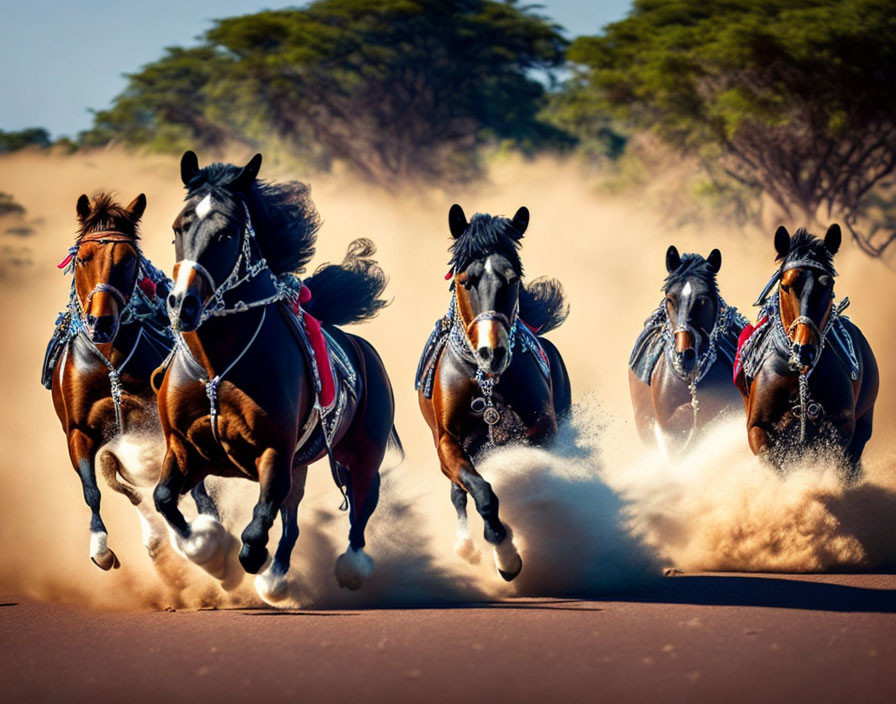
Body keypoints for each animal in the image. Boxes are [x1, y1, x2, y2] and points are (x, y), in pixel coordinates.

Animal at [45, 192, 219, 572]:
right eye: (82, 258)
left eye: (128, 260)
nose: (101, 322)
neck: (110, 360)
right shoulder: (79, 432)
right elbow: (93, 489)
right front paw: (100, 548)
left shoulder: (160, 424)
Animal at [416, 205, 572, 584]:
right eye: (464, 280)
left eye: (512, 279)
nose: (492, 353)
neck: (486, 383)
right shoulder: (448, 441)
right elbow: (481, 491)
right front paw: (506, 555)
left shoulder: (541, 431)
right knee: (459, 494)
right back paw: (466, 547)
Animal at [736, 227, 880, 478]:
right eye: (785, 285)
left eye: (828, 285)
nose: (804, 349)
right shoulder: (758, 430)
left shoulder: (840, 429)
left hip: (863, 426)